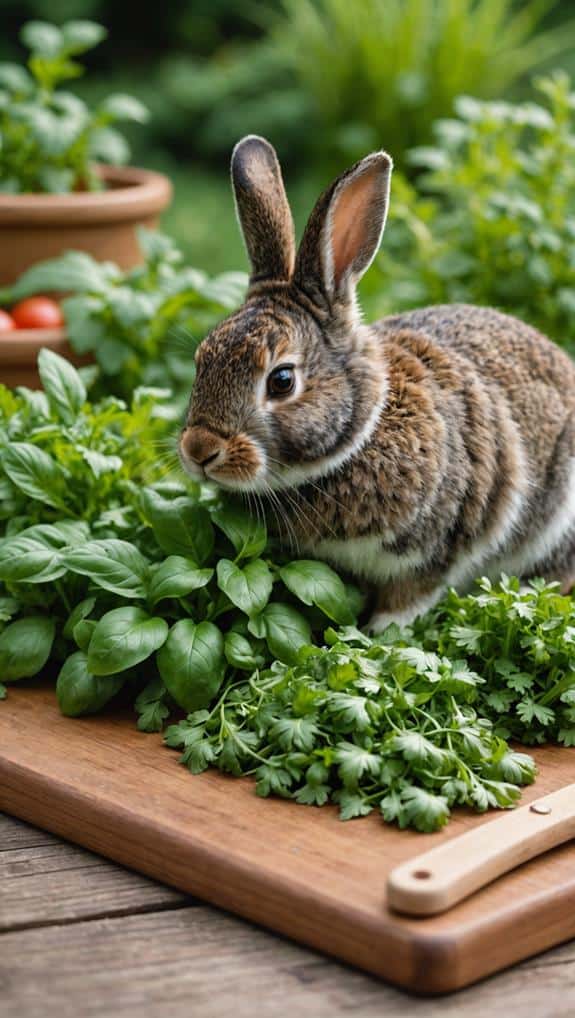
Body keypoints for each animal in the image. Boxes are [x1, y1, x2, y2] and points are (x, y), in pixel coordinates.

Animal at [179, 134, 575, 631]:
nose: (199, 451)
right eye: (201, 359)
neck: (364, 435)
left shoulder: (437, 548)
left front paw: (378, 633)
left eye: (282, 380)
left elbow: (408, 600)